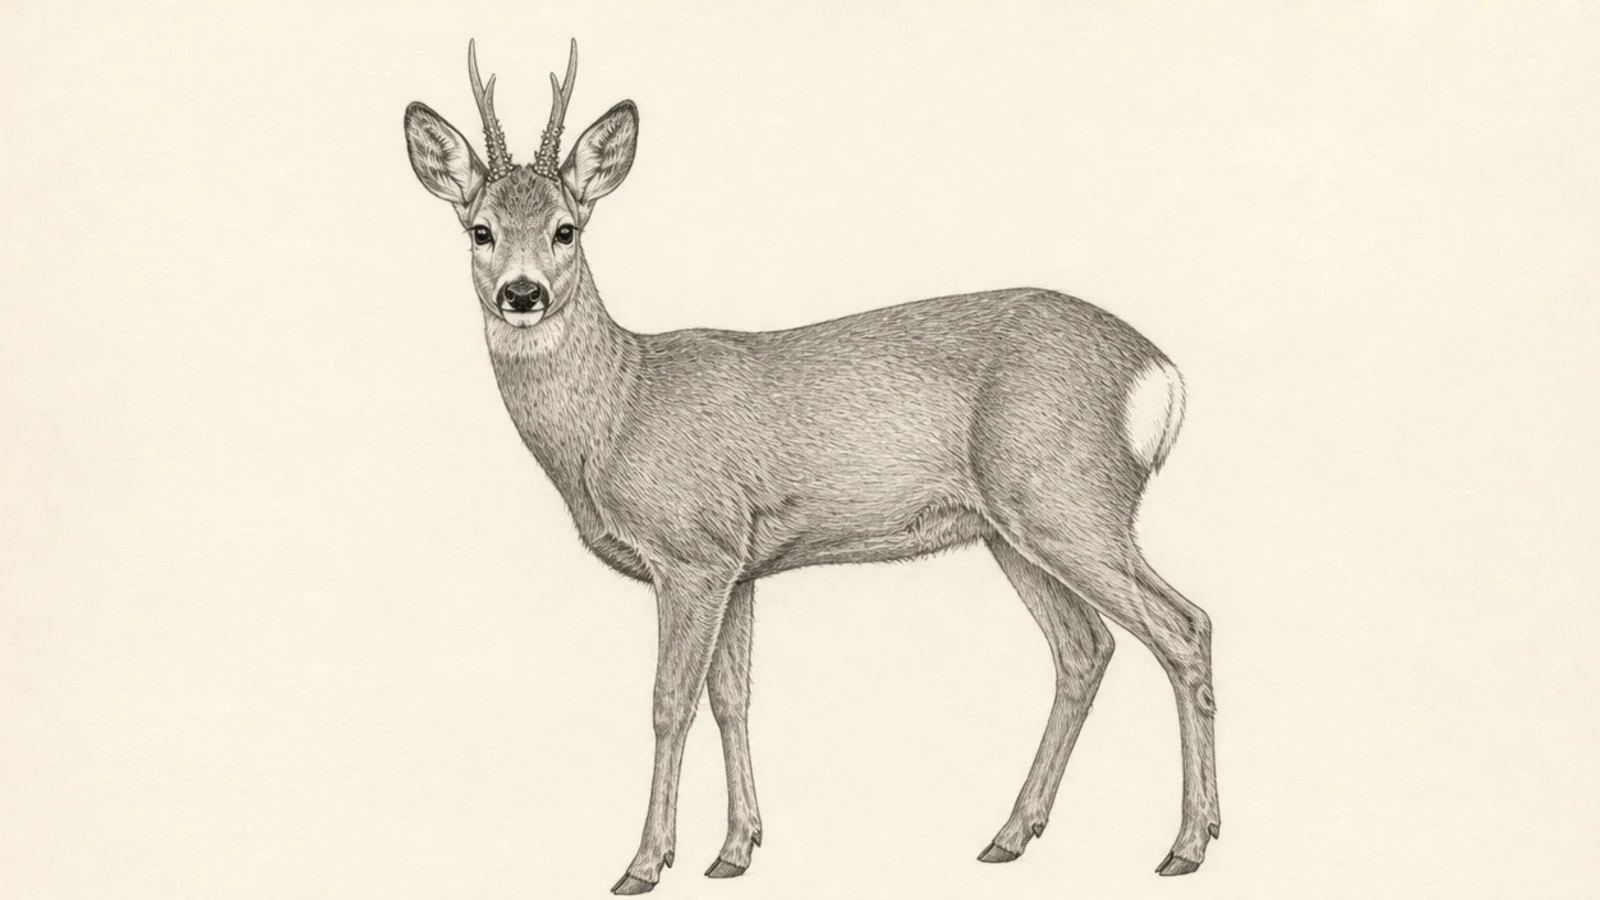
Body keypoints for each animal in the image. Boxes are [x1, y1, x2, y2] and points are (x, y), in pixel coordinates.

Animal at [402, 39, 1220, 895]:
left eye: (566, 230)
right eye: (480, 230)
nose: (521, 294)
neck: (622, 406)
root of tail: (1160, 376)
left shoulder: (692, 553)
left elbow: (668, 701)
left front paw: (645, 863)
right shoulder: (739, 565)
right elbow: (733, 698)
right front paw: (735, 849)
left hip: (1069, 501)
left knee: (1183, 626)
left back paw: (1186, 845)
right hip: (1013, 529)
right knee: (1086, 649)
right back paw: (1011, 835)